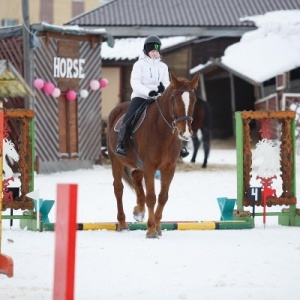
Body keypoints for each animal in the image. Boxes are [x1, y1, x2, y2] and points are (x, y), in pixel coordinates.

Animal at [106, 73, 200, 239]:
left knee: (136, 177)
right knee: (118, 189)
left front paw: (157, 226)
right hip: (116, 160)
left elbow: (163, 197)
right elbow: (151, 197)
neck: (162, 130)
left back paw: (139, 211)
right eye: (175, 98)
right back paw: (122, 224)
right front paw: (151, 230)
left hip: (139, 164)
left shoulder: (169, 168)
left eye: (193, 100)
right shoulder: (150, 167)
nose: (185, 133)